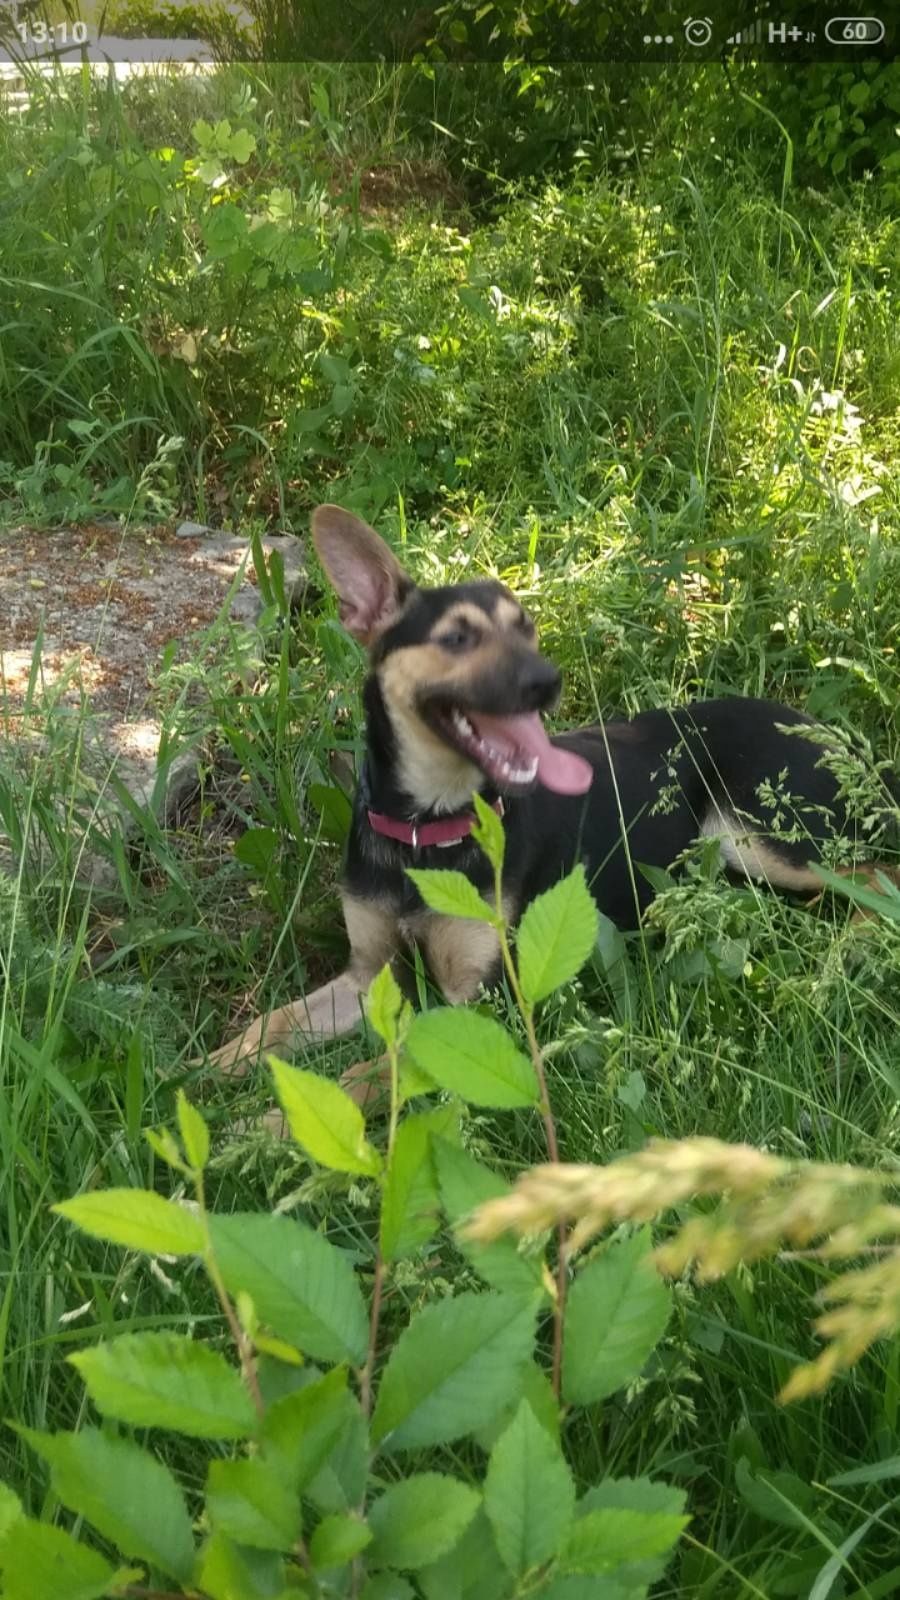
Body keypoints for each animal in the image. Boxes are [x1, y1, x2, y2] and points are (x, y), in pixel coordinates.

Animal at [209, 499, 890, 1075]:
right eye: (456, 637)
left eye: (527, 630)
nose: (547, 680)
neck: (426, 833)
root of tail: (829, 734)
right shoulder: (367, 974)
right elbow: (274, 1025)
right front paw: (204, 1075)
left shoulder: (482, 1001)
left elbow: (379, 1071)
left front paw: (269, 1125)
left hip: (765, 838)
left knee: (877, 878)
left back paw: (842, 954)